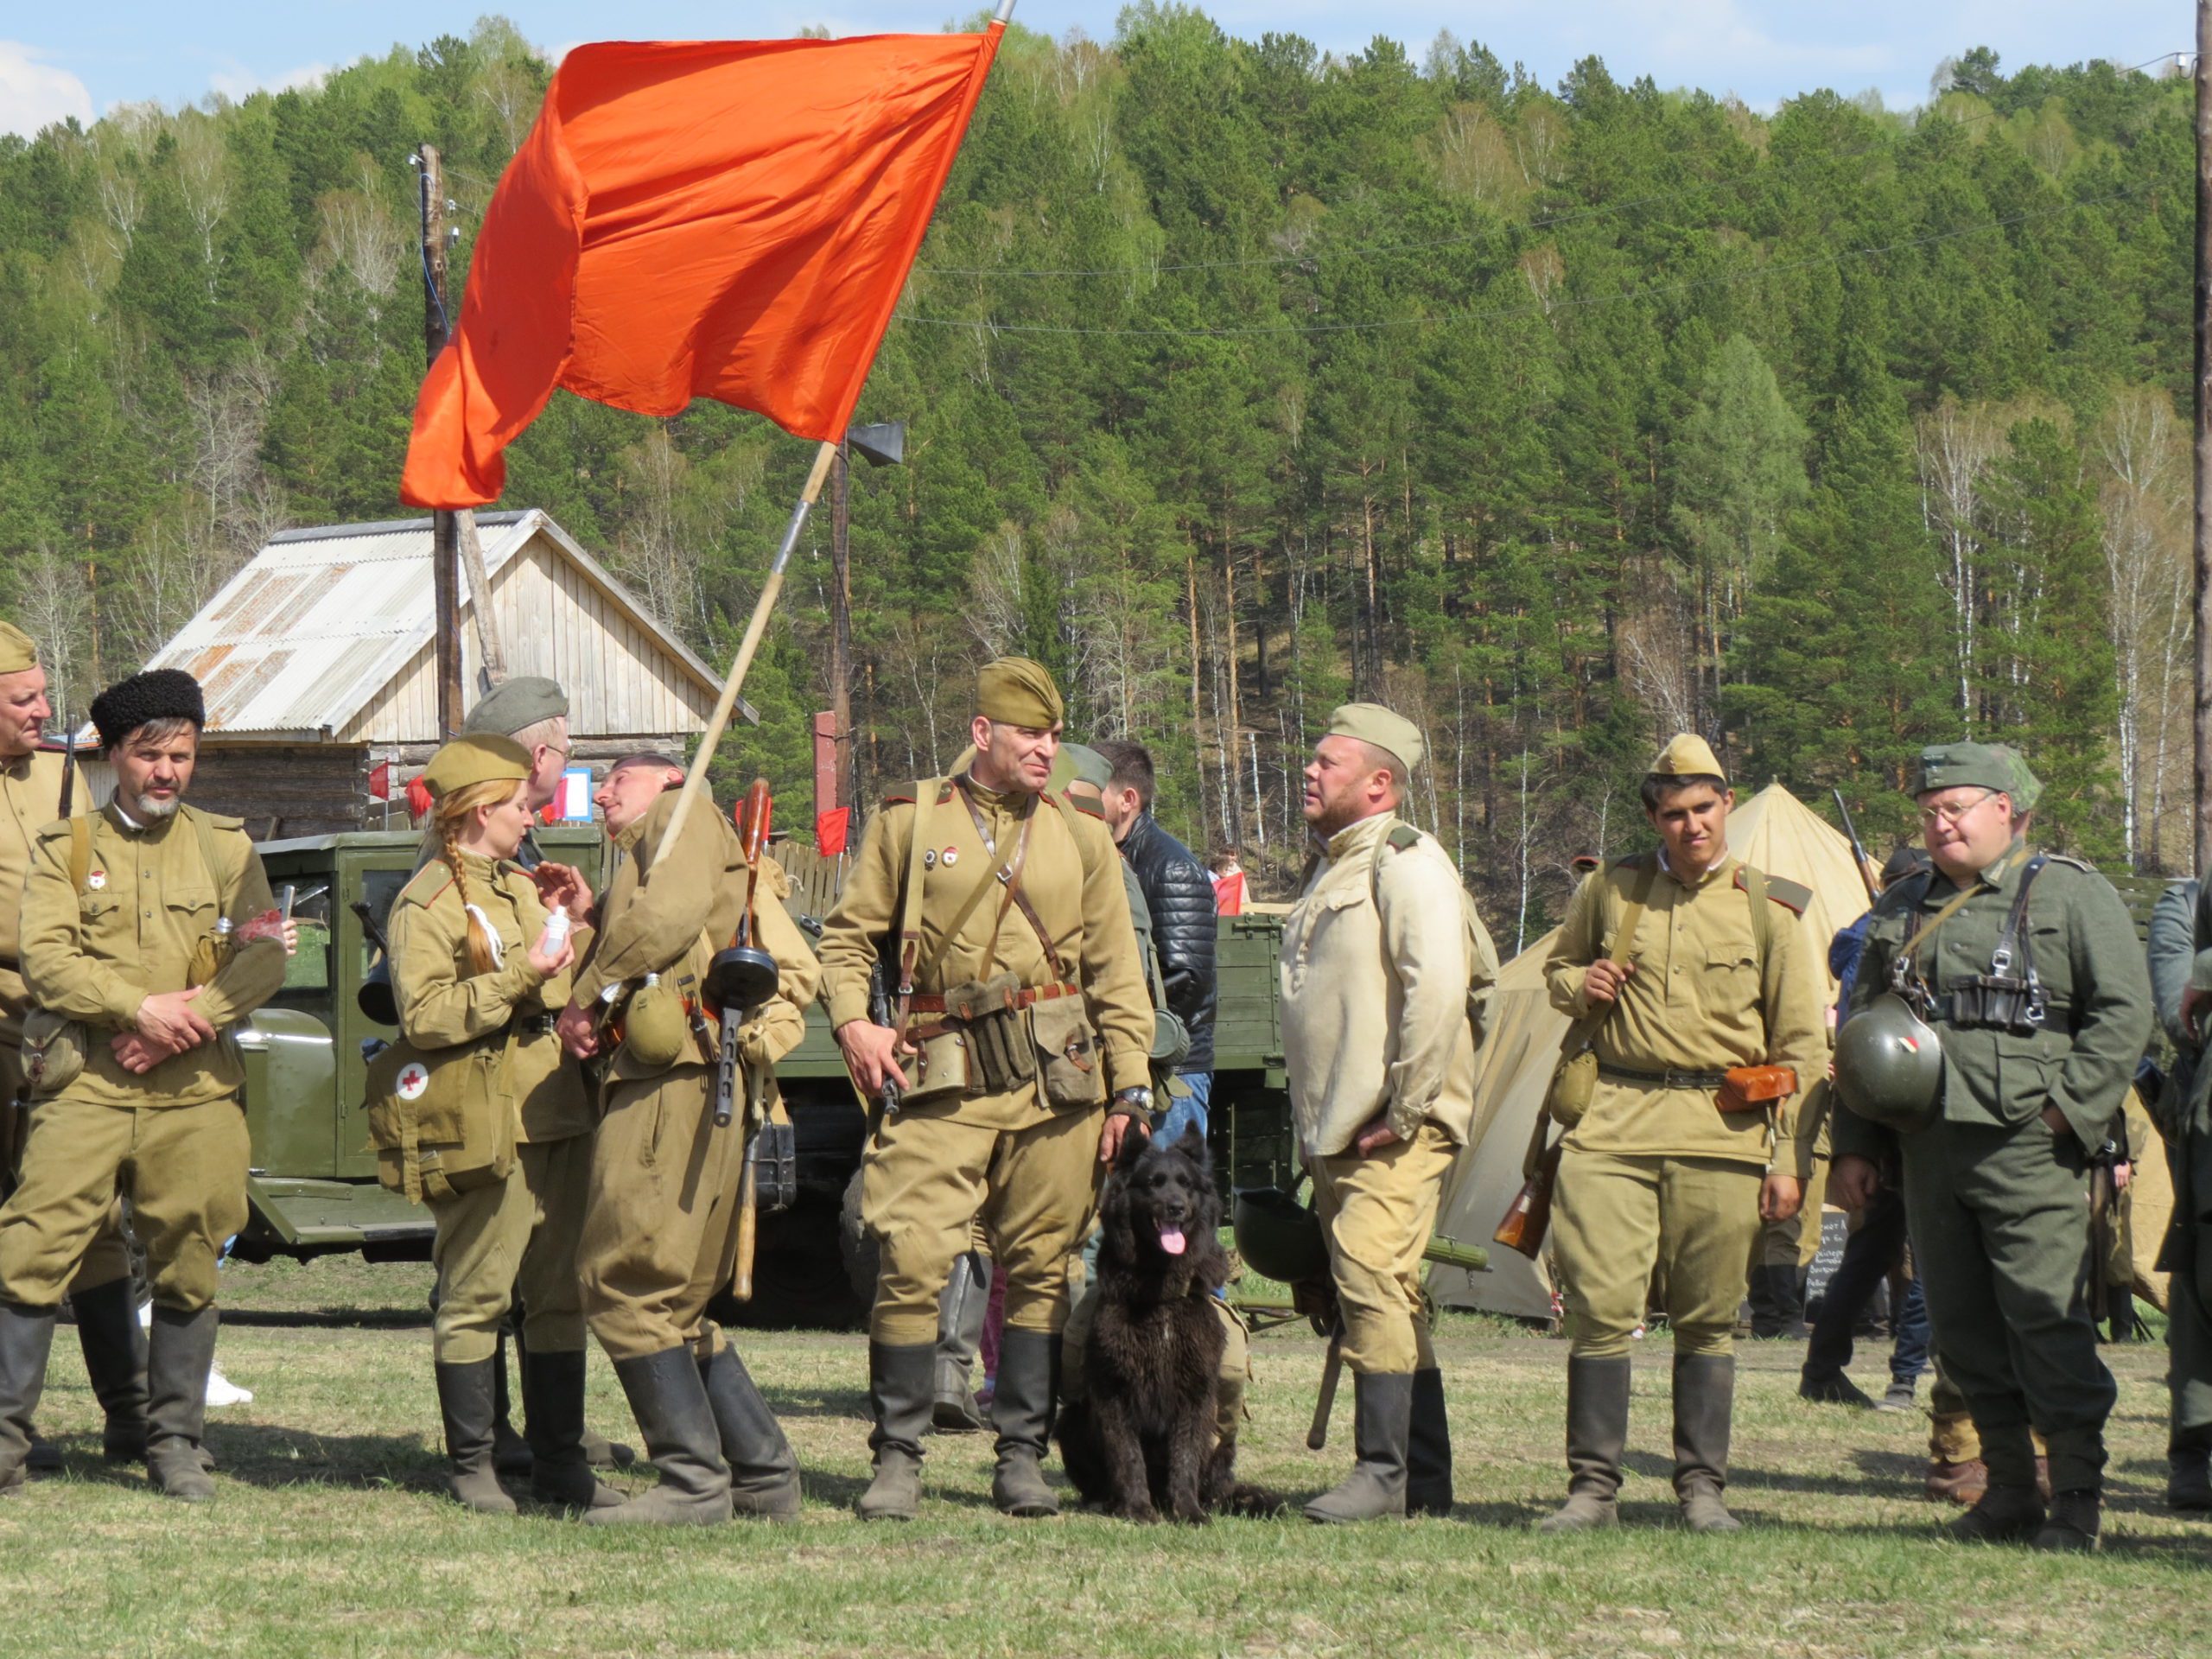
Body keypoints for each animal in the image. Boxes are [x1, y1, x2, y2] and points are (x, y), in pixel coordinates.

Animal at [1057, 1123, 1238, 1530]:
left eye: (1185, 1184)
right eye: (1154, 1183)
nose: (1176, 1207)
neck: (1162, 1294)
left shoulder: (1195, 1395)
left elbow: (1184, 1460)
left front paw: (1188, 1510)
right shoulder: (1115, 1391)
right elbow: (1128, 1457)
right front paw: (1138, 1508)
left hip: (1223, 1439)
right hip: (1072, 1419)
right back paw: (1108, 1502)